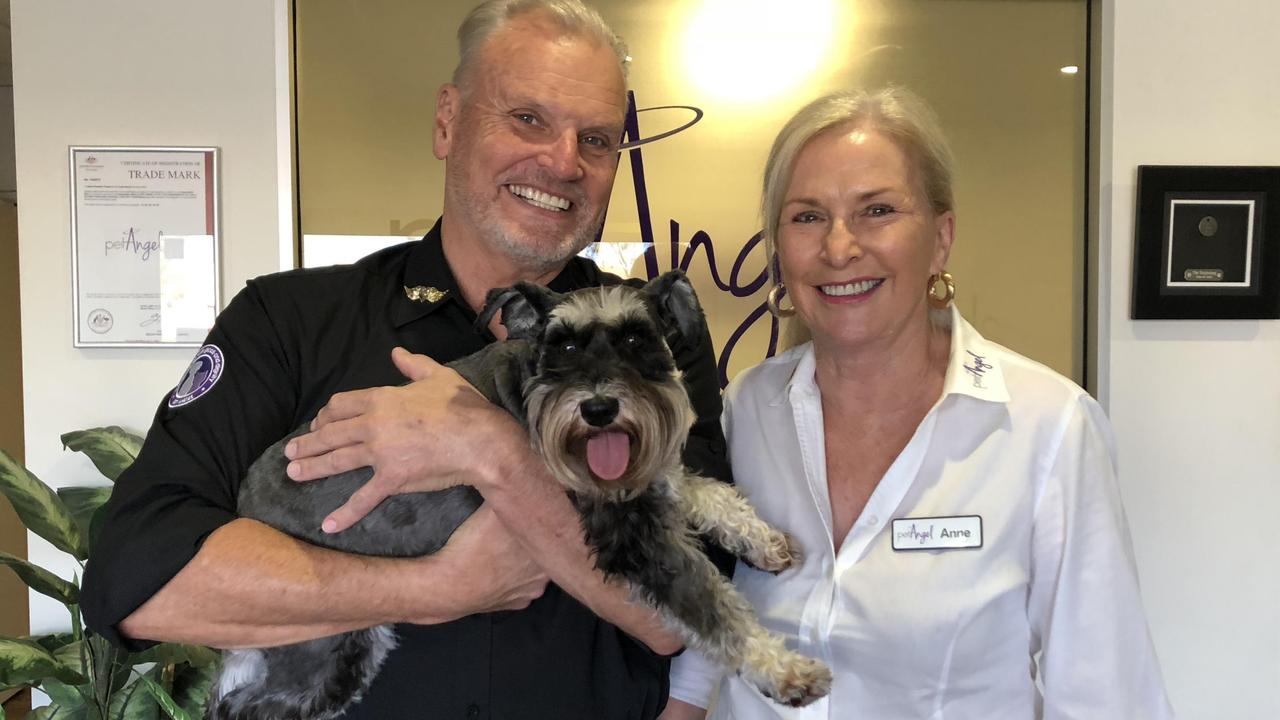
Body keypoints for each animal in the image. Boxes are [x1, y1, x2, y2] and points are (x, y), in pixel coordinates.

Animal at [207, 270, 829, 717]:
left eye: (637, 337)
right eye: (563, 346)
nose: (598, 409)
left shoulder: (649, 481)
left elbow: (710, 494)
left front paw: (765, 541)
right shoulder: (631, 535)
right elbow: (709, 603)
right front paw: (787, 671)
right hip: (323, 650)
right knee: (244, 707)